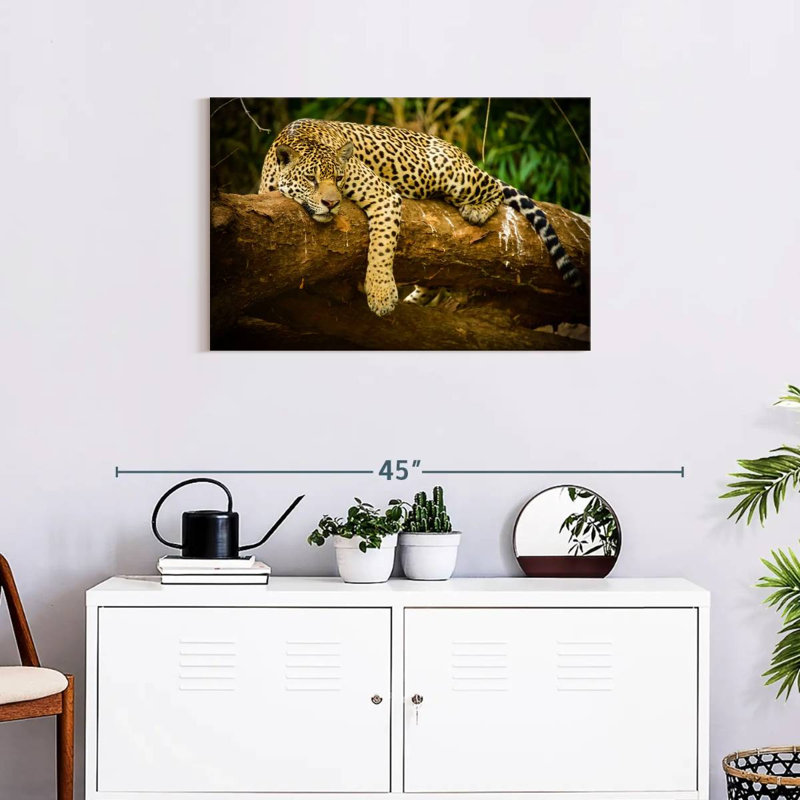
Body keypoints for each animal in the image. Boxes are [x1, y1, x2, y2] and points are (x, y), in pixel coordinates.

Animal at [259, 119, 582, 317]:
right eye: (311, 179)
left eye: (338, 178)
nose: (331, 203)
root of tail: (458, 150)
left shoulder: (383, 195)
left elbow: (381, 248)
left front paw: (381, 295)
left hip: (451, 173)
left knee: (493, 185)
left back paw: (476, 209)